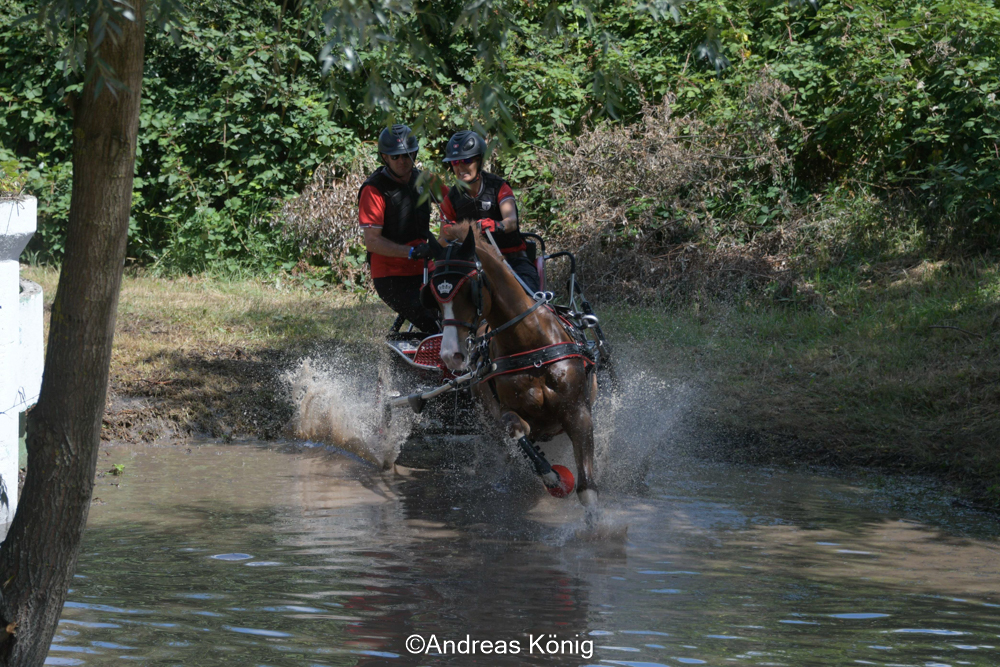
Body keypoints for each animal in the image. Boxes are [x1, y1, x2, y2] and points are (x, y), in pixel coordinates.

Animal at [420, 227, 600, 516]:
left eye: (469, 289)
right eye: (434, 295)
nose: (450, 354)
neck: (530, 345)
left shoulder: (578, 411)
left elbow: (587, 489)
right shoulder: (502, 412)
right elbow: (516, 430)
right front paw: (551, 475)